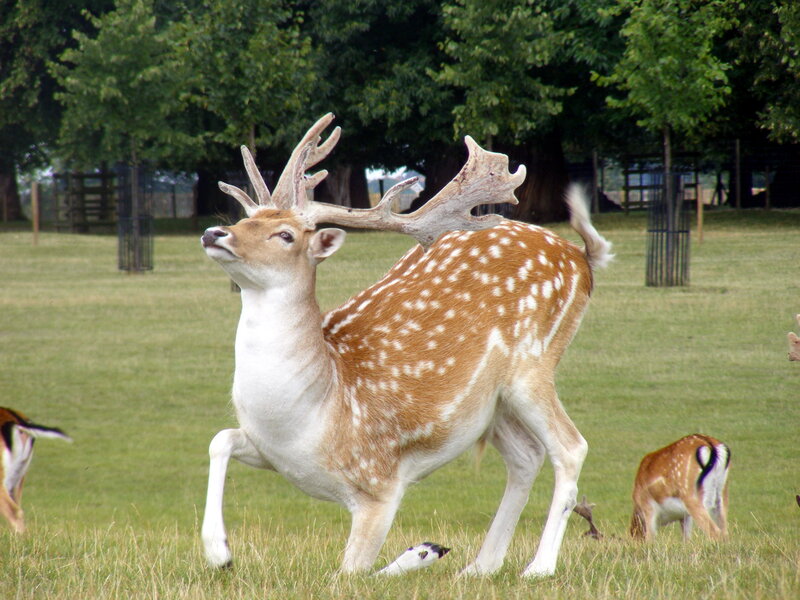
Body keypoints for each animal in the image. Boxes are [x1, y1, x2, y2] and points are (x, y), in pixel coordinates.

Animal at [199, 113, 612, 577]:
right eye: (244, 218)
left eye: (285, 235)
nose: (215, 232)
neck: (306, 421)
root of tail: (580, 257)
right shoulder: (269, 452)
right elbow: (219, 439)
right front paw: (219, 551)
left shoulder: (380, 484)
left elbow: (347, 575)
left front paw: (423, 551)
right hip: (492, 401)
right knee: (525, 456)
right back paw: (479, 567)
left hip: (532, 365)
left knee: (570, 447)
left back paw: (537, 568)